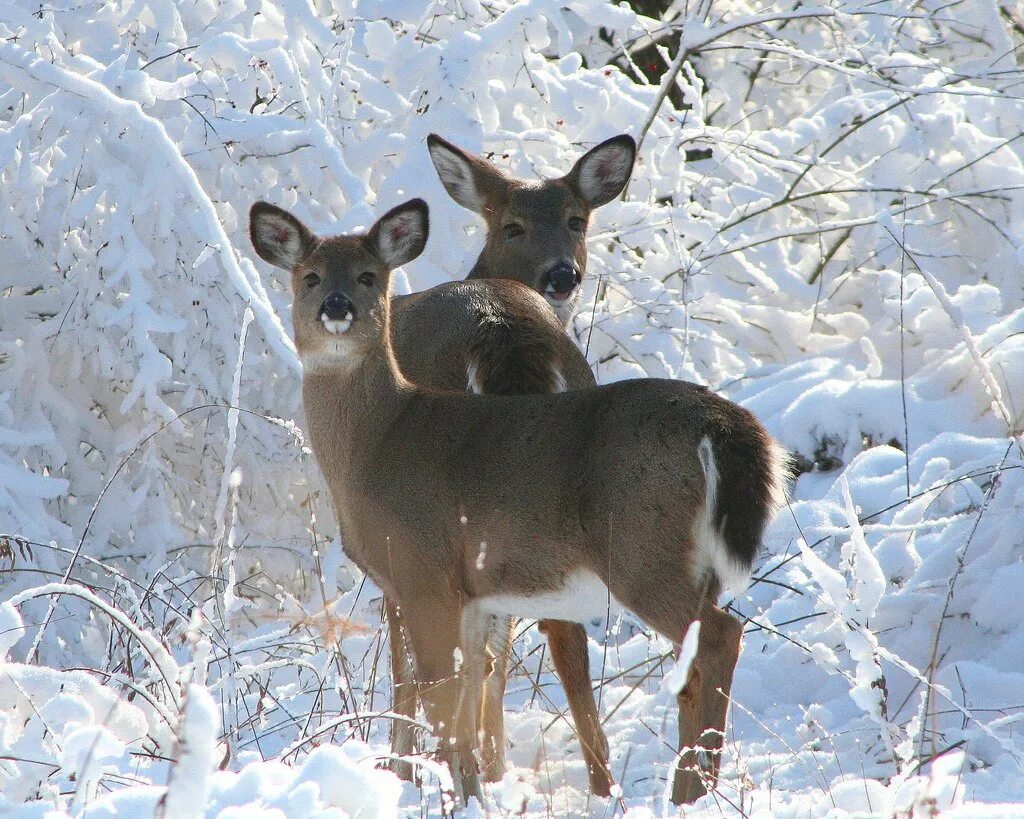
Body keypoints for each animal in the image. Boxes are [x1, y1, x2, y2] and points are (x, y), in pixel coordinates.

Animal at [249, 199, 790, 806]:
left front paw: (437, 791)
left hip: (641, 551)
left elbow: (436, 688)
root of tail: (722, 423)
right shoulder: (470, 592)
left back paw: (690, 793)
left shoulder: (421, 572)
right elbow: (468, 688)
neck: (378, 441)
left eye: (368, 276)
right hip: (691, 562)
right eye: (310, 276)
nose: (337, 306)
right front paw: (468, 791)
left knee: (720, 636)